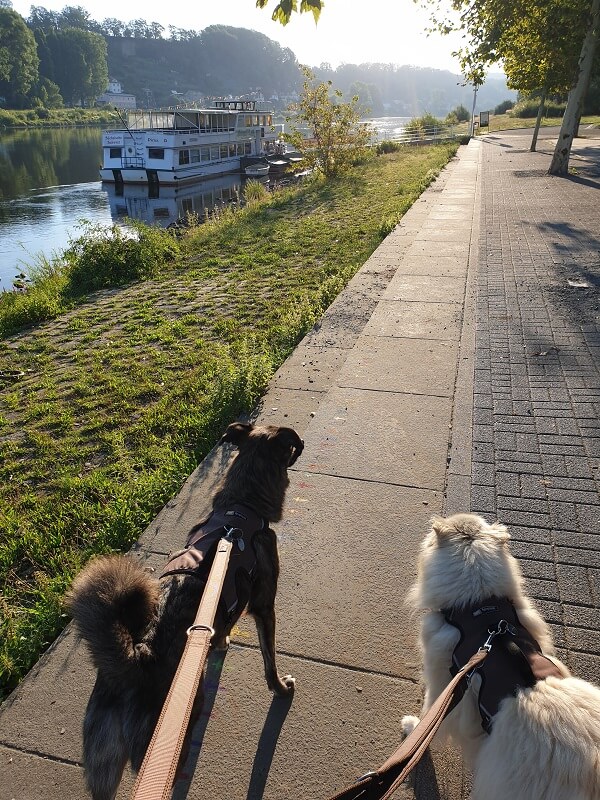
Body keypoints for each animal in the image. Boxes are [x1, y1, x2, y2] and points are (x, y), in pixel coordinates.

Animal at [69, 422, 302, 800]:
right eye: (290, 447)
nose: (301, 445)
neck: (240, 509)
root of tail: (136, 663)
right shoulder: (265, 606)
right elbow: (270, 660)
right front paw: (281, 688)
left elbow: (221, 627)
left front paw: (218, 643)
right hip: (166, 750)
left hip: (103, 763)